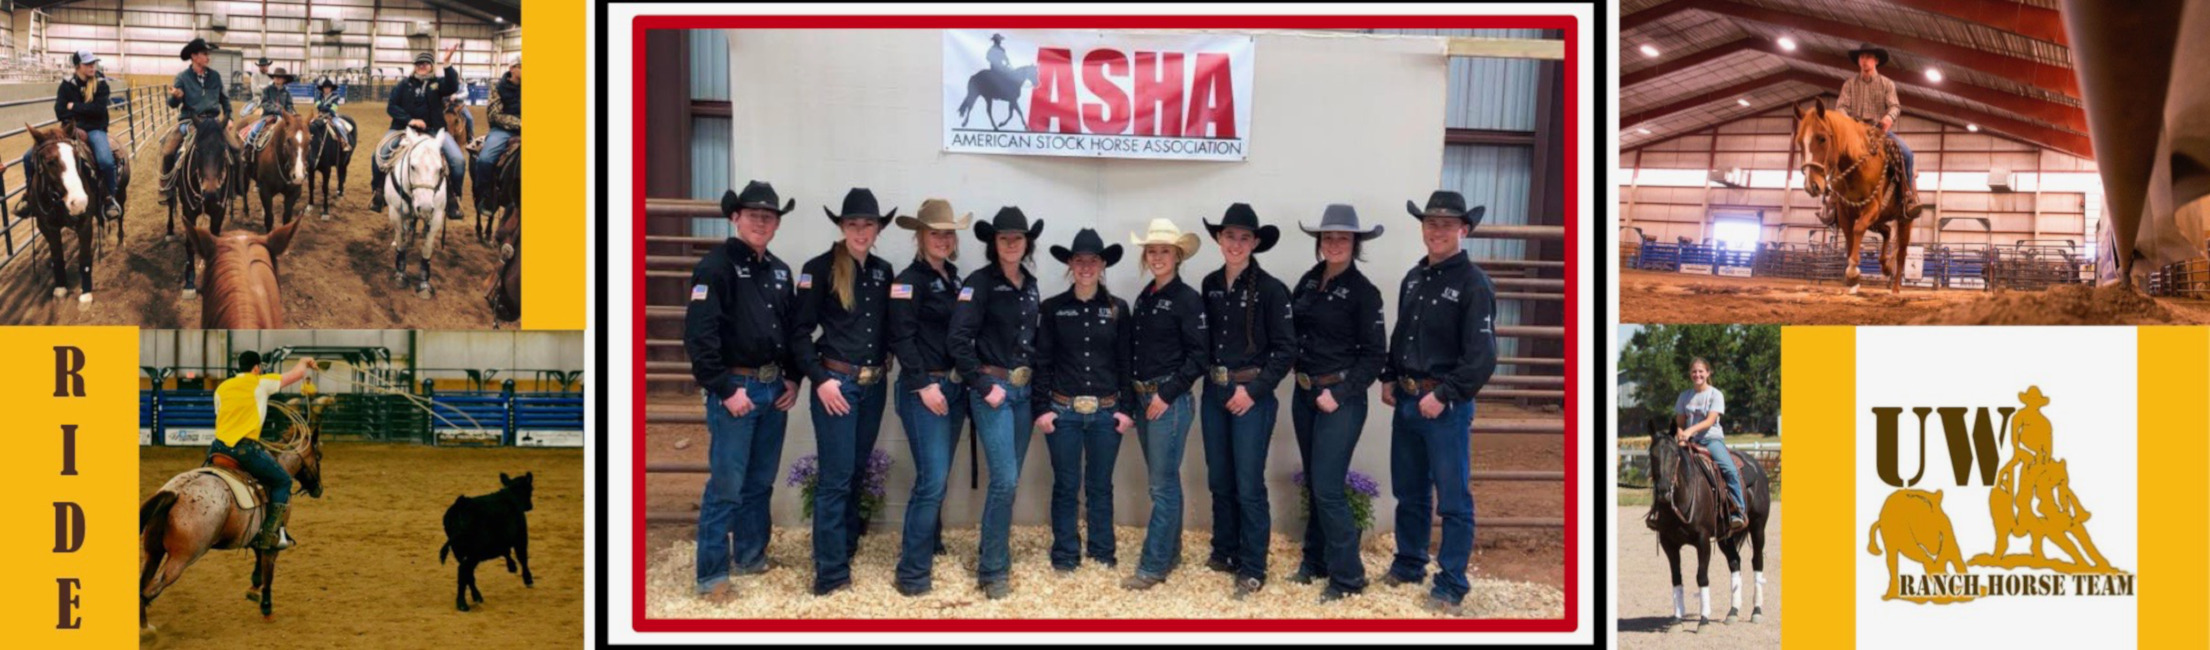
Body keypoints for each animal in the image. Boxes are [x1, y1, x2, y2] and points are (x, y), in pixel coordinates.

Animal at [135, 422, 322, 636]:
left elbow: (258, 557)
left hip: (153, 552)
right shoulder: (273, 541)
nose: (319, 489)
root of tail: (176, 492)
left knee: (142, 584)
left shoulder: (256, 534)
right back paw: (147, 631)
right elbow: (268, 572)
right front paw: (266, 608)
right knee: (149, 590)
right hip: (182, 559)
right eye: (318, 456)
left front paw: (254, 587)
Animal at [167, 115, 235, 296]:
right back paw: (169, 231)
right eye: (197, 149)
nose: (210, 192)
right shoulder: (188, 212)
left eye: (223, 149)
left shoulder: (219, 212)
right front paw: (189, 282)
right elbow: (190, 244)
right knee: (169, 204)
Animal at [1644, 417, 1776, 632]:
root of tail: (1756, 465)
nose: (1663, 491)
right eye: (1652, 454)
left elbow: (1702, 576)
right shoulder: (1668, 543)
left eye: (1674, 454)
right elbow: (1676, 578)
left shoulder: (1702, 540)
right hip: (1725, 536)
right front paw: (1677, 620)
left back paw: (1756, 611)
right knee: (1735, 562)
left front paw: (1704, 620)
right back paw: (1733, 612)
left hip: (1758, 527)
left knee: (1757, 562)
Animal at [1794, 97, 1918, 294]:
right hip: (1879, 219)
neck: (1858, 167)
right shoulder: (1845, 212)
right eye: (1799, 141)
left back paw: (1896, 288)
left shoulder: (1872, 207)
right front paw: (1853, 282)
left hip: (1904, 220)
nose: (1811, 185)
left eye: (1822, 138)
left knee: (1902, 251)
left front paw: (1853, 272)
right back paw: (1885, 267)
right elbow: (1850, 238)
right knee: (1887, 231)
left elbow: (1858, 229)